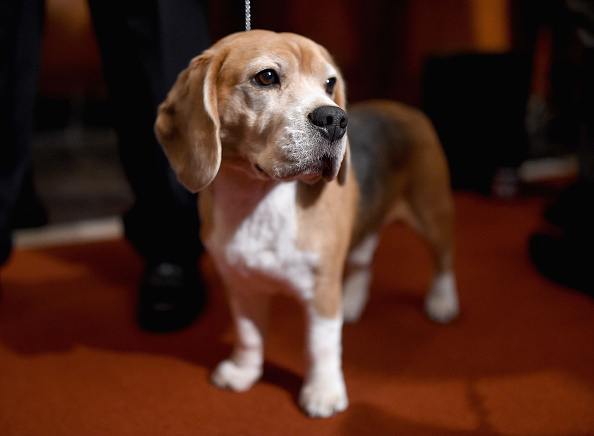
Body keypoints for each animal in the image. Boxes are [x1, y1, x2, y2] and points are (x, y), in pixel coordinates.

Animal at [154, 29, 458, 418]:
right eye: (266, 77)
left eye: (330, 83)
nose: (336, 119)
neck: (260, 201)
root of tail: (402, 107)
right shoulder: (242, 285)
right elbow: (248, 335)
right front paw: (243, 372)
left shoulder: (321, 290)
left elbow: (321, 346)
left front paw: (323, 392)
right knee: (364, 259)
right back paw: (354, 300)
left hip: (431, 211)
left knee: (443, 258)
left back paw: (442, 301)